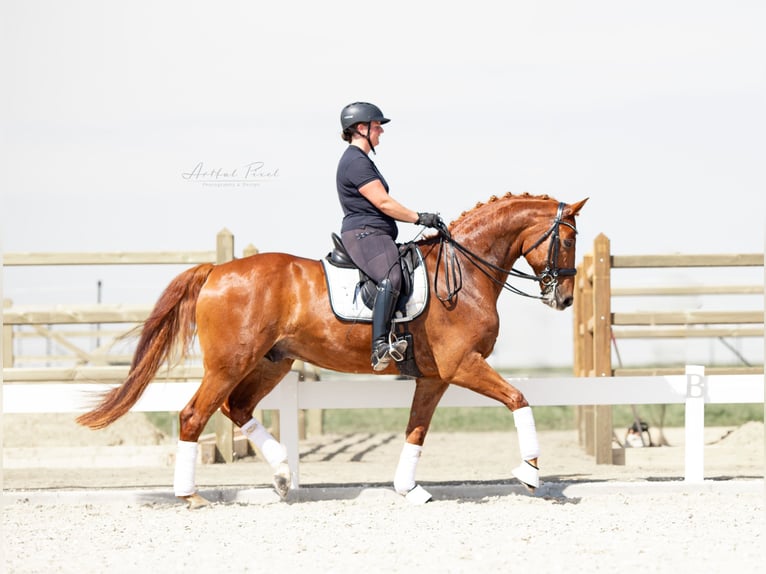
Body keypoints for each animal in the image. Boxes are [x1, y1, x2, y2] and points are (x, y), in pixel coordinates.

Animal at [79, 194, 588, 508]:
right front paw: (530, 472)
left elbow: (416, 430)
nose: (564, 298)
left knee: (235, 407)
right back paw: (192, 496)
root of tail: (217, 270)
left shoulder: (434, 376)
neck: (462, 270)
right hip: (230, 362)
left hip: (271, 363)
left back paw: (283, 475)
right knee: (193, 415)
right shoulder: (462, 366)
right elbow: (519, 398)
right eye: (567, 239)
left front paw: (409, 489)